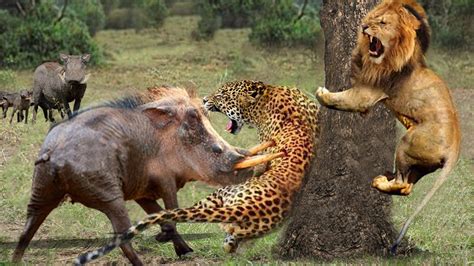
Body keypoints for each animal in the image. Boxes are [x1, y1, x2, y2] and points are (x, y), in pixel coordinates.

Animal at [75, 80, 318, 264]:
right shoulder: (159, 180)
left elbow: (163, 212)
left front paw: (180, 248)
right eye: (193, 120)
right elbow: (167, 210)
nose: (251, 172)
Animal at [314, 0, 460, 254]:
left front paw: (323, 94)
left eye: (382, 23)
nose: (363, 27)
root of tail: (455, 149)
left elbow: (343, 99)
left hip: (407, 143)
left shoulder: (366, 94)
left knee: (402, 183)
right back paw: (384, 177)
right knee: (407, 187)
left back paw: (382, 181)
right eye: (372, 19)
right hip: (423, 164)